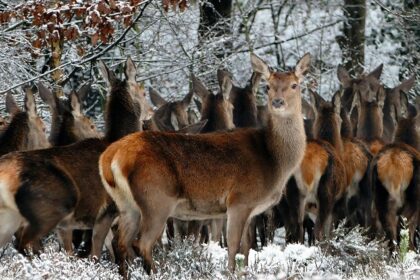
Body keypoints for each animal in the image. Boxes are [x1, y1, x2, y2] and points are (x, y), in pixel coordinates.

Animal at [0, 57, 148, 258]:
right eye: (143, 92)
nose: (150, 113)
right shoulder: (107, 212)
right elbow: (97, 253)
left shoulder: (69, 226)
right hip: (50, 207)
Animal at [97, 52, 308, 274]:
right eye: (268, 86)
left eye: (295, 85)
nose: (277, 102)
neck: (273, 160)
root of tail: (110, 156)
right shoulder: (239, 200)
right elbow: (233, 247)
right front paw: (229, 272)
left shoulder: (251, 209)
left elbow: (246, 248)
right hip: (156, 198)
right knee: (141, 243)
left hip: (127, 204)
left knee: (120, 242)